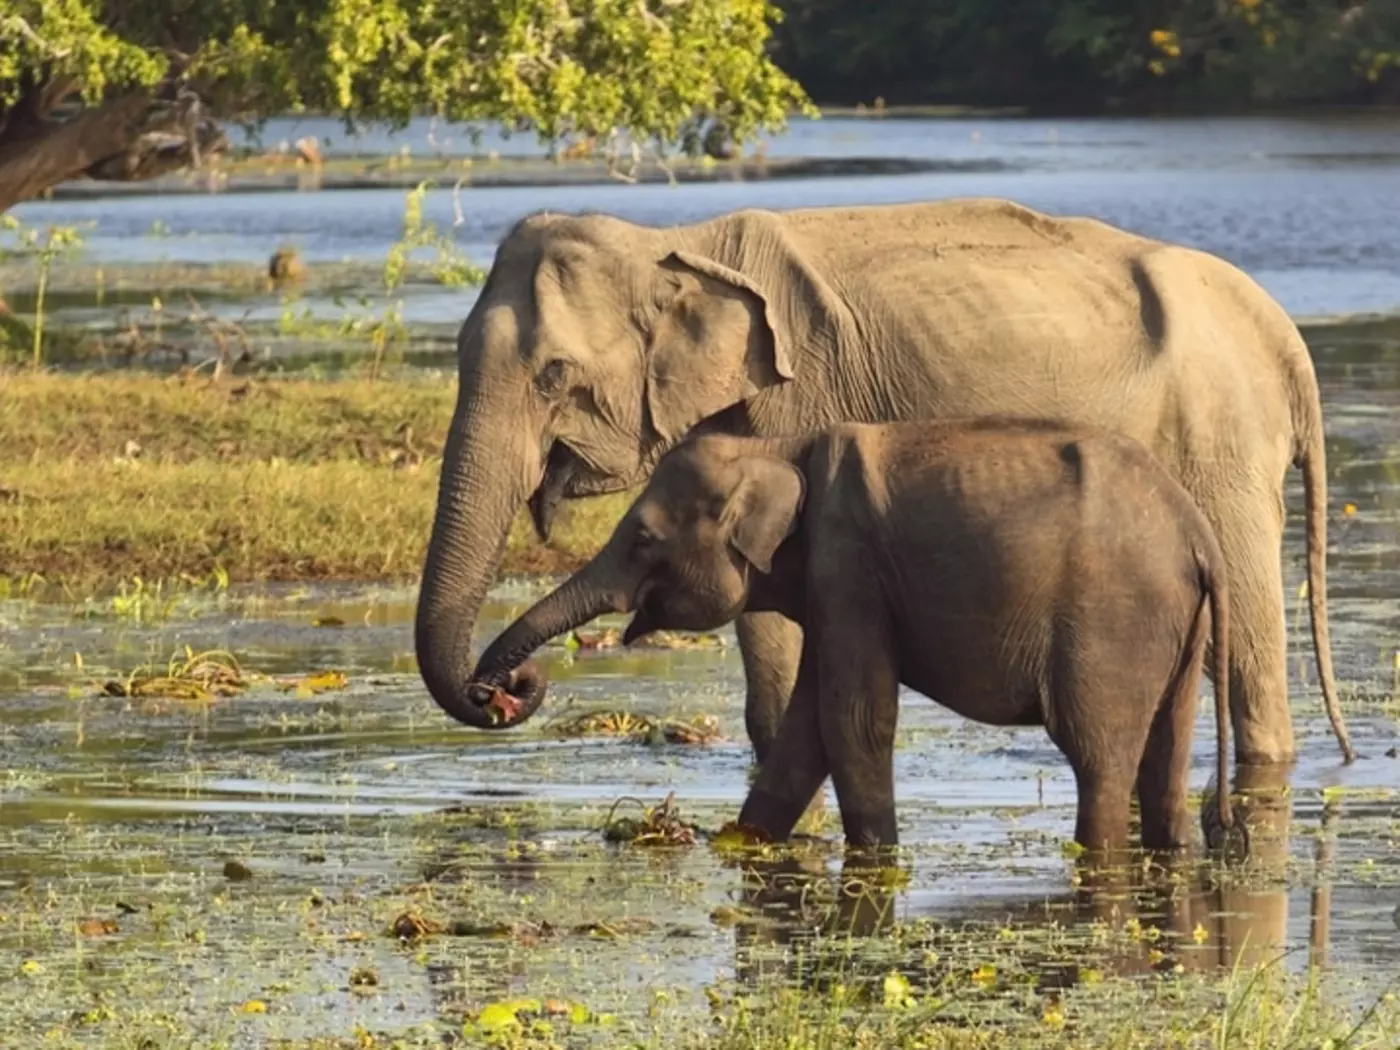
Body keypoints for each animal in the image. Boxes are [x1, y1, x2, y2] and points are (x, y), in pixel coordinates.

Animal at [414, 197, 1354, 768]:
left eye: (552, 375)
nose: (506, 693)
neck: (674, 244)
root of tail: (1285, 338)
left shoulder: (801, 402)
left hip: (1220, 440)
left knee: (1248, 648)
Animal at [464, 420, 1239, 854]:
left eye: (644, 538)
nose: (504, 690)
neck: (777, 447)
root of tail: (1199, 535)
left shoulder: (849, 565)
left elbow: (852, 719)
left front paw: (876, 857)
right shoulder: (831, 586)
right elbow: (807, 728)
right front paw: (740, 841)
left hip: (1111, 621)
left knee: (1097, 757)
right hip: (1176, 629)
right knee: (1165, 756)